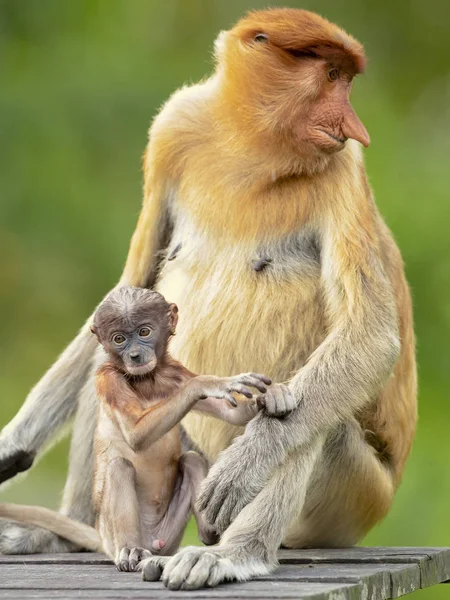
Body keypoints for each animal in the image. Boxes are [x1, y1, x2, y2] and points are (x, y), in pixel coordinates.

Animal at [0, 288, 274, 568]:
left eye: (144, 332)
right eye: (119, 338)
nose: (134, 355)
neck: (147, 380)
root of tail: (153, 542)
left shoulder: (176, 372)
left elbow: (230, 413)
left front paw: (271, 400)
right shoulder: (108, 378)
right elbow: (136, 435)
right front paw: (208, 384)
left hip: (170, 532)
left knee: (192, 459)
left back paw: (209, 533)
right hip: (112, 534)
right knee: (119, 467)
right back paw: (132, 549)